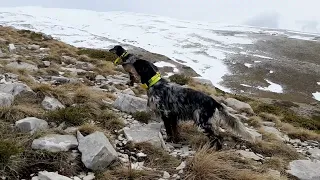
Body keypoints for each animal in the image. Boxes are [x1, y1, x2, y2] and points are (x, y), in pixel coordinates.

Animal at [110, 45, 255, 150]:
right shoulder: (173, 116)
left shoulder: (166, 114)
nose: (123, 63)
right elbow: (175, 131)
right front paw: (175, 140)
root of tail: (214, 102)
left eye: (136, 64)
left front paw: (169, 140)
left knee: (218, 138)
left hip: (203, 123)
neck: (155, 84)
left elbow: (169, 130)